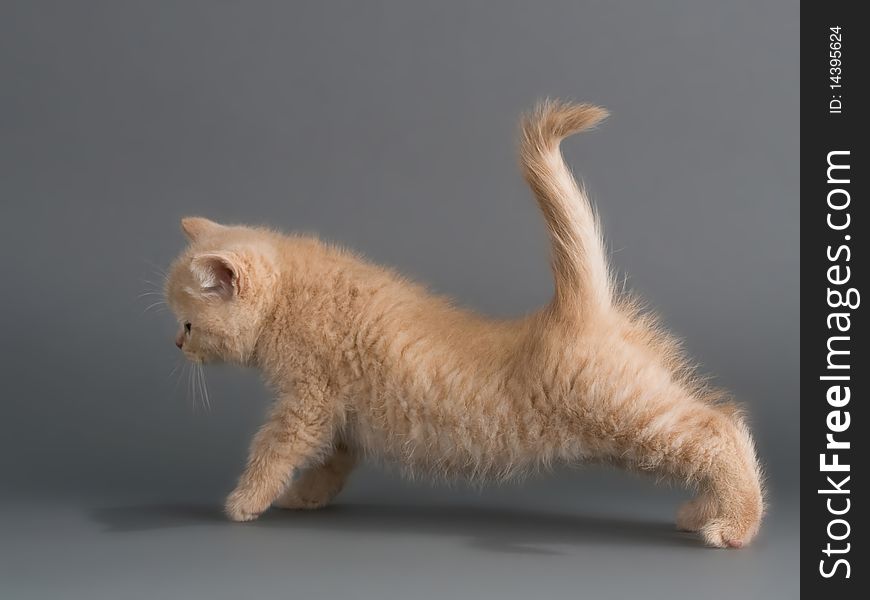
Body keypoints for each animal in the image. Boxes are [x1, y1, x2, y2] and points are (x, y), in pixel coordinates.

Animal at [167, 99, 768, 548]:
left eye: (189, 325)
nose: (175, 345)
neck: (294, 297)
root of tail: (578, 307)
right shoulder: (341, 415)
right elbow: (334, 459)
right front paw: (306, 496)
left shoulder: (308, 401)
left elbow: (273, 449)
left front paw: (244, 501)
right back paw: (702, 511)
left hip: (629, 415)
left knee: (720, 430)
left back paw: (735, 525)